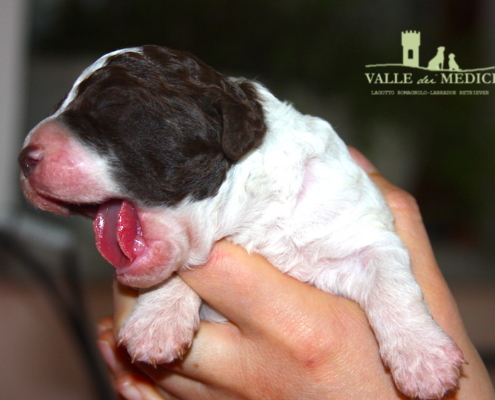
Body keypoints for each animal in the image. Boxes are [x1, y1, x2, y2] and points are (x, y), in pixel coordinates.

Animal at [19, 45, 466, 398]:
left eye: (112, 107)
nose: (23, 159)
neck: (252, 221)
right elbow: (175, 272)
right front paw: (158, 321)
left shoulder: (363, 231)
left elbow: (393, 285)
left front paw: (424, 359)